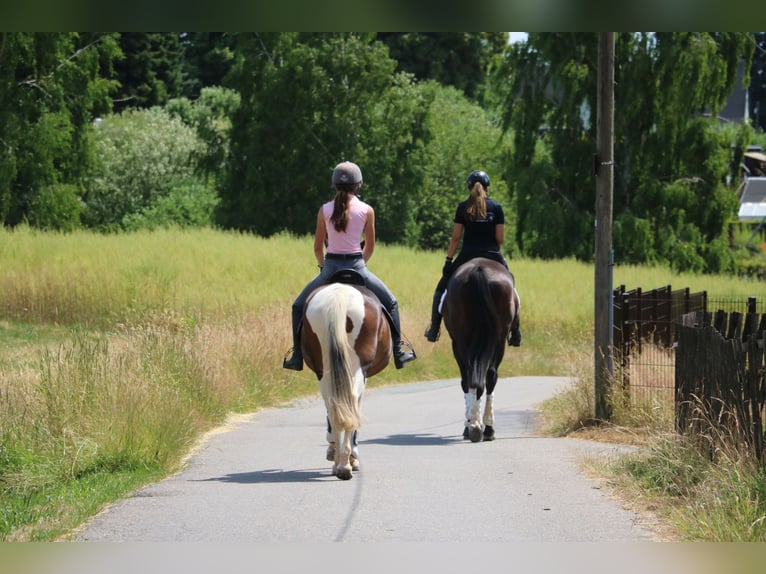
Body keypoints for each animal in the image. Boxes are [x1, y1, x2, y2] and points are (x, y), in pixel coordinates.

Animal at [301, 270, 392, 479]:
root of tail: (339, 295)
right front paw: (353, 457)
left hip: (323, 370)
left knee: (333, 406)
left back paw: (338, 463)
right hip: (356, 369)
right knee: (350, 402)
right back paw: (345, 464)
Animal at [442, 257, 518, 443]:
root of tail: (479, 269)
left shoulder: (457, 343)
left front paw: (469, 423)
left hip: (462, 341)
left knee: (470, 377)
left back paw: (476, 426)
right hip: (497, 341)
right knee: (489, 376)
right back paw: (485, 428)